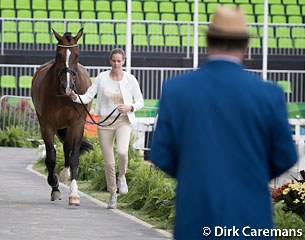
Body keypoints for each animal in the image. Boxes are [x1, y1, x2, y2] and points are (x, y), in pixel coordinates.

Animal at [31, 27, 92, 204]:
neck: (63, 97)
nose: (68, 86)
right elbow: (51, 157)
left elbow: (74, 157)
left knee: (67, 147)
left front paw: (74, 194)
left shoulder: (77, 124)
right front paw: (54, 185)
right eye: (58, 54)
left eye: (77, 55)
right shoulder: (47, 125)